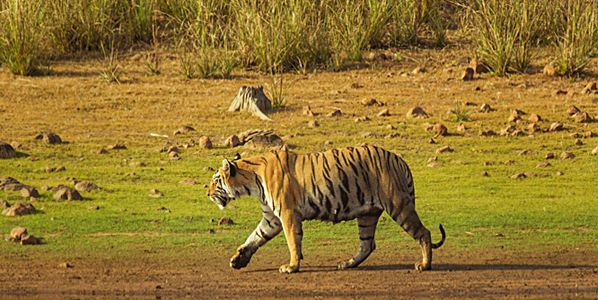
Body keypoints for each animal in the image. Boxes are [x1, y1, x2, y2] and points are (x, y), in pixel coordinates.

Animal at [206, 145, 446, 274]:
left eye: (216, 180)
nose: (207, 193)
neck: (252, 181)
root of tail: (400, 160)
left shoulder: (287, 214)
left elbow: (292, 242)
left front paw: (291, 266)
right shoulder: (272, 217)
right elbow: (255, 237)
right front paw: (238, 259)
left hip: (398, 205)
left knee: (424, 233)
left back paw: (424, 265)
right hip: (368, 214)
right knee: (368, 245)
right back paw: (347, 264)